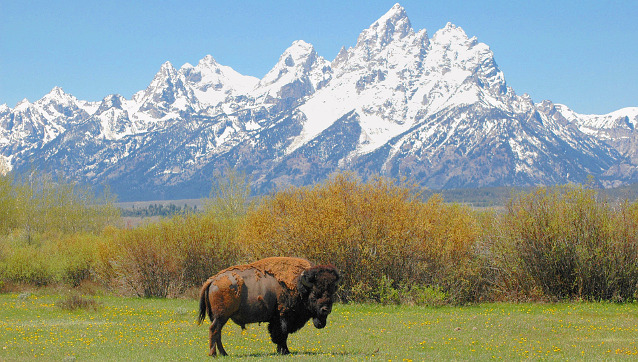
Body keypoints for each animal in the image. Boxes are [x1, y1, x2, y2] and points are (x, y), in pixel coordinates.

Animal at [199, 258, 340, 356]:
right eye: (315, 294)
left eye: (332, 293)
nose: (325, 309)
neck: (300, 285)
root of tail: (213, 280)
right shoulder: (283, 317)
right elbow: (281, 334)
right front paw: (285, 351)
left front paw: (282, 351)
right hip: (221, 316)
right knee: (214, 330)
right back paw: (214, 354)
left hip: (220, 317)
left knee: (217, 332)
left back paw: (224, 353)